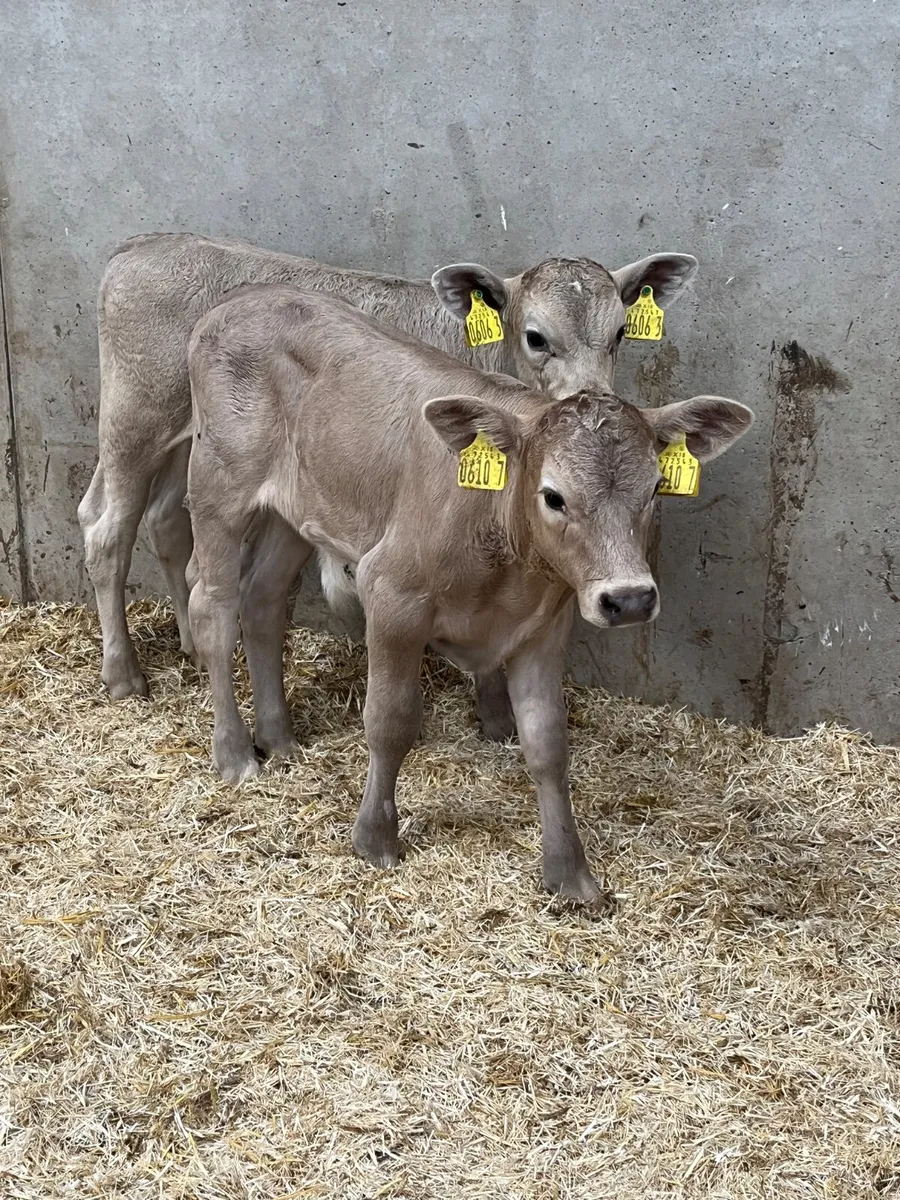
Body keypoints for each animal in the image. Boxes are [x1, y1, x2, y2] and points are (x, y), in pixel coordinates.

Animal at [78, 231, 698, 744]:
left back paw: (186, 644)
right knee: (108, 530)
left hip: (186, 442)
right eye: (536, 338)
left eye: (620, 333)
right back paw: (124, 675)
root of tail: (139, 245)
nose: (591, 398)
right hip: (136, 420)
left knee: (161, 522)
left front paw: (496, 719)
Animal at [185, 285, 753, 906]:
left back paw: (280, 738)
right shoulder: (390, 593)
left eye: (655, 487)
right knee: (214, 610)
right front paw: (375, 838)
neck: (506, 562)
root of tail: (244, 299)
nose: (627, 599)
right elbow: (390, 720)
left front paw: (570, 873)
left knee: (262, 603)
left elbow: (548, 744)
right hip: (217, 488)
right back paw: (236, 753)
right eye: (553, 496)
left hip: (297, 511)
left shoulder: (544, 628)